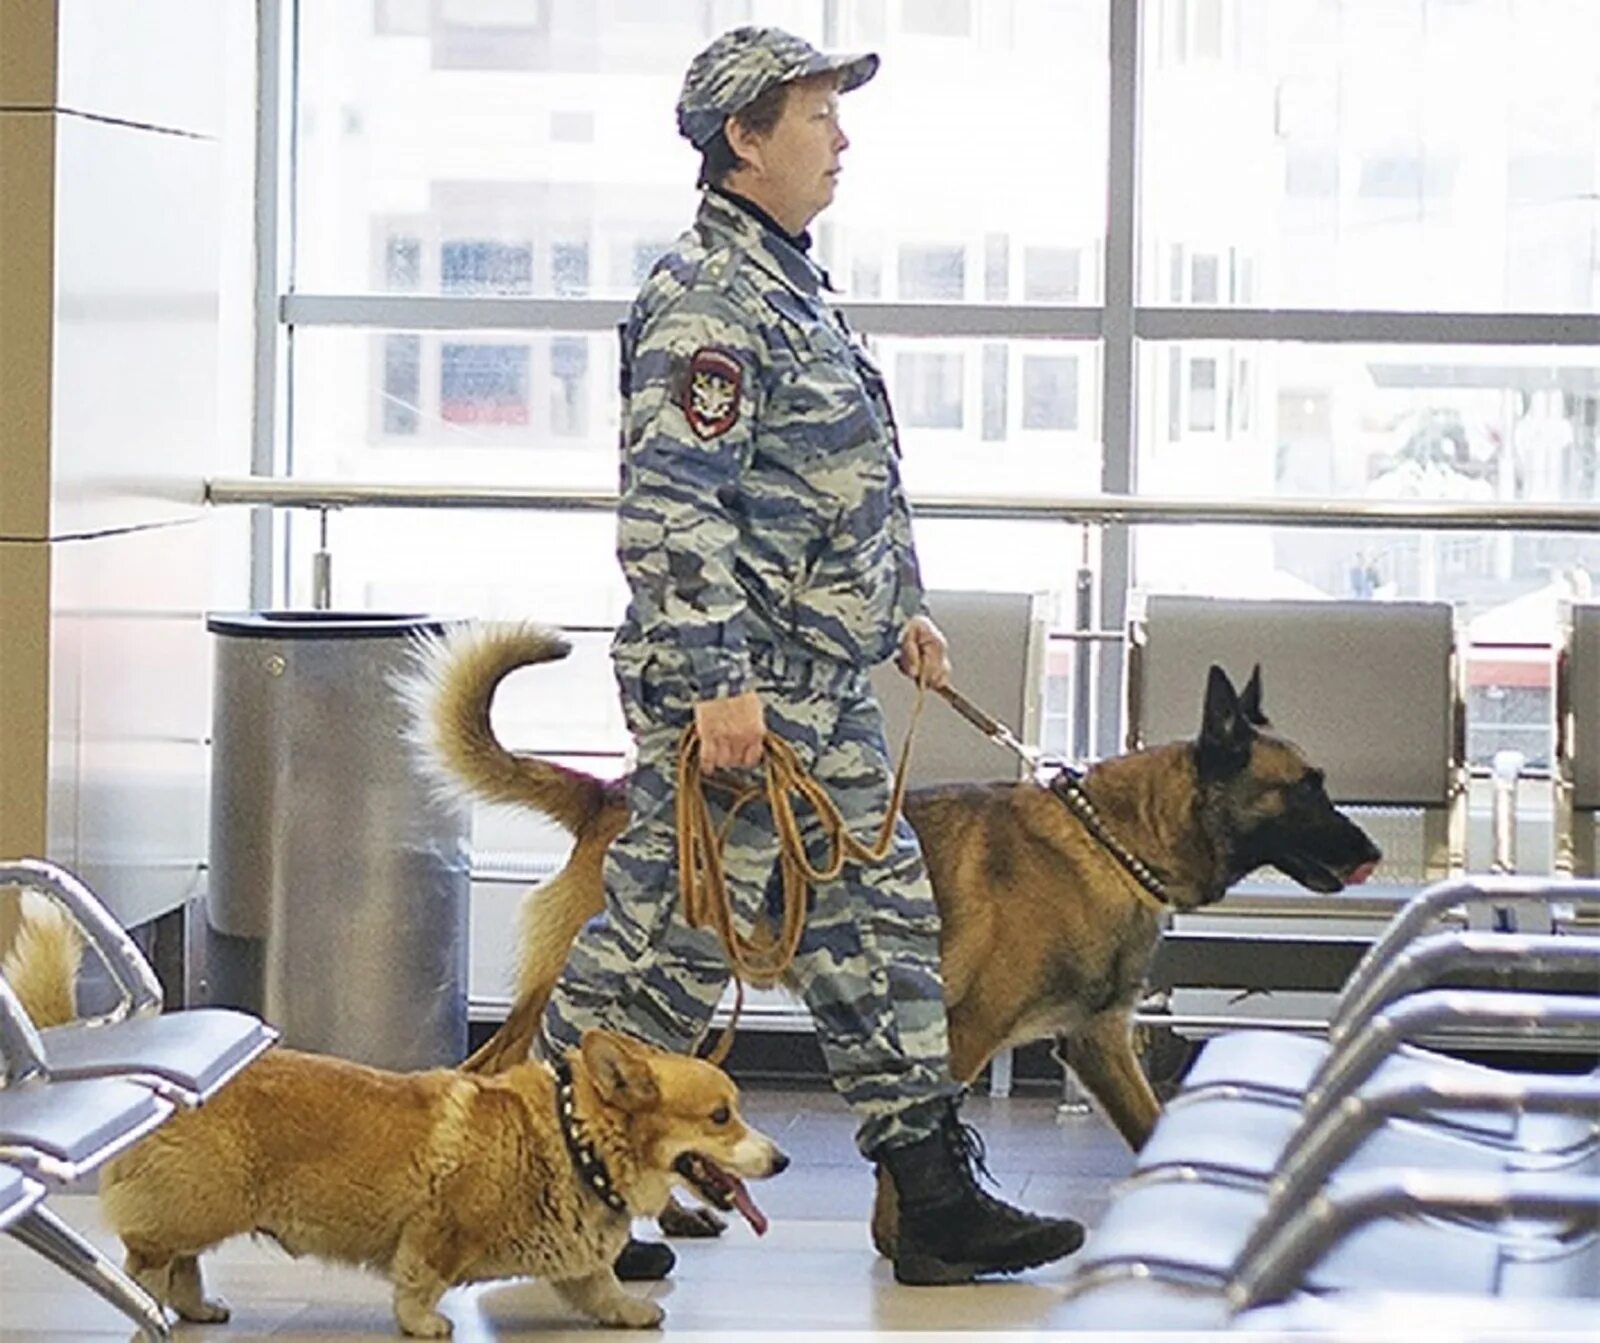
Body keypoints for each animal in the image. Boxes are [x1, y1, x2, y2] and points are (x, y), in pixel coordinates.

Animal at [5, 909, 787, 1336]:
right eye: (721, 1116)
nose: (781, 1162)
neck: (575, 1143)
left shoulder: (578, 1261)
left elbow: (598, 1287)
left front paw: (629, 1310)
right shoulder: (438, 1231)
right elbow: (420, 1280)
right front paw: (424, 1323)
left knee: (187, 1263)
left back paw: (196, 1308)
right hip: (198, 1202)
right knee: (152, 1257)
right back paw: (152, 1307)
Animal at [410, 623, 1382, 1253]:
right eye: (1306, 787)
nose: (1372, 852)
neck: (1116, 838)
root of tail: (605, 794)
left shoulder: (1097, 1044)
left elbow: (1149, 1127)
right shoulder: (961, 1032)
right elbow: (911, 1127)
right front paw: (911, 1243)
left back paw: (666, 1213)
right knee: (513, 1069)